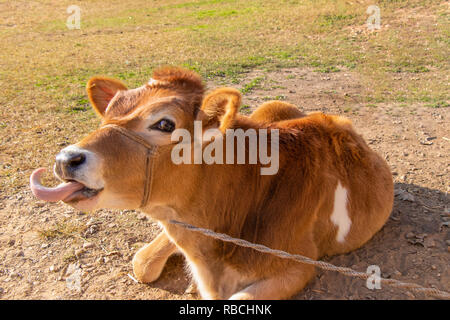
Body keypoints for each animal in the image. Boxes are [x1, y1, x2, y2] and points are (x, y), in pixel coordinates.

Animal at [29, 67, 392, 300]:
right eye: (108, 113)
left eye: (165, 123)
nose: (66, 159)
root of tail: (332, 119)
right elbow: (142, 262)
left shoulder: (299, 264)